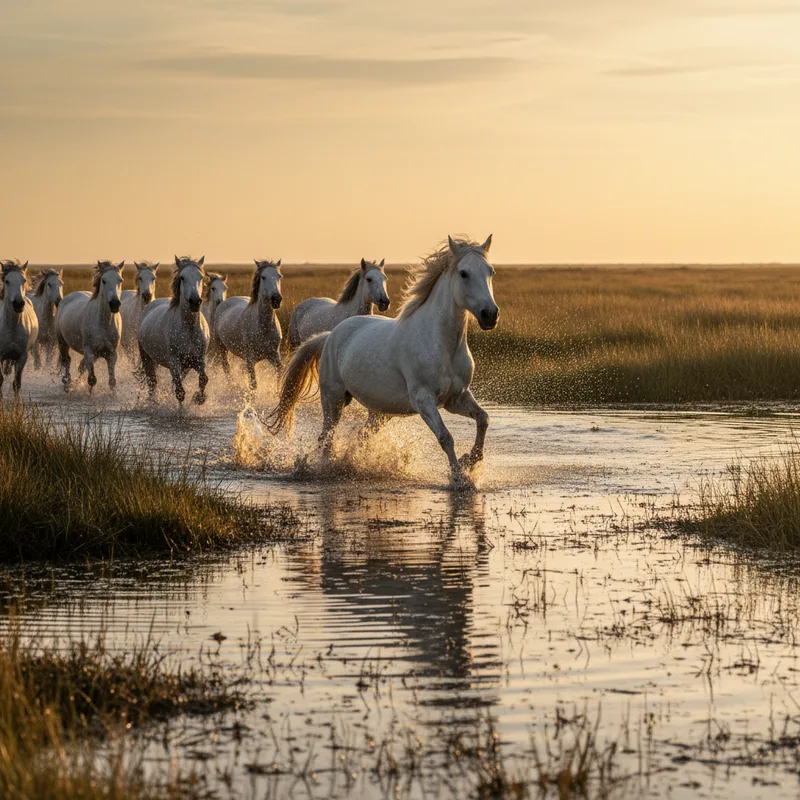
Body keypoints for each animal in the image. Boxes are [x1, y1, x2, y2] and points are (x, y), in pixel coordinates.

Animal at [0, 261, 38, 397]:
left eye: (24, 280)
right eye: (7, 281)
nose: (18, 304)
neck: (11, 327)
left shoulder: (22, 356)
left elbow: (16, 384)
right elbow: (0, 380)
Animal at [56, 261, 124, 393]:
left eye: (120, 280)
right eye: (104, 280)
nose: (114, 304)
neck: (103, 324)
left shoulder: (111, 354)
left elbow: (112, 382)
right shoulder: (89, 351)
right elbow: (92, 379)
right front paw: (89, 394)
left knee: (81, 367)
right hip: (63, 342)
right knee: (67, 361)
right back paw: (67, 384)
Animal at [137, 256, 209, 406]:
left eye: (201, 276)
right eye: (182, 277)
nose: (195, 301)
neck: (189, 329)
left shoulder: (198, 360)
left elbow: (203, 379)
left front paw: (198, 398)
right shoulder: (174, 362)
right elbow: (180, 393)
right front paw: (180, 409)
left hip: (185, 366)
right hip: (146, 358)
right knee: (152, 383)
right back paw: (152, 403)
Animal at [214, 259, 282, 389]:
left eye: (279, 276)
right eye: (263, 277)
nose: (276, 299)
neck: (263, 327)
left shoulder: (274, 356)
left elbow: (279, 377)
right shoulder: (250, 360)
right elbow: (254, 385)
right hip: (221, 347)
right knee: (226, 367)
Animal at [267, 235, 499, 486]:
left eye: (491, 271)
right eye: (464, 273)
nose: (490, 315)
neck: (444, 345)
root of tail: (330, 335)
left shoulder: (456, 398)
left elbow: (483, 419)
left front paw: (471, 460)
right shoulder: (424, 400)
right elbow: (446, 437)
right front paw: (459, 477)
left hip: (379, 411)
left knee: (361, 435)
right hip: (333, 398)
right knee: (326, 437)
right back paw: (327, 466)